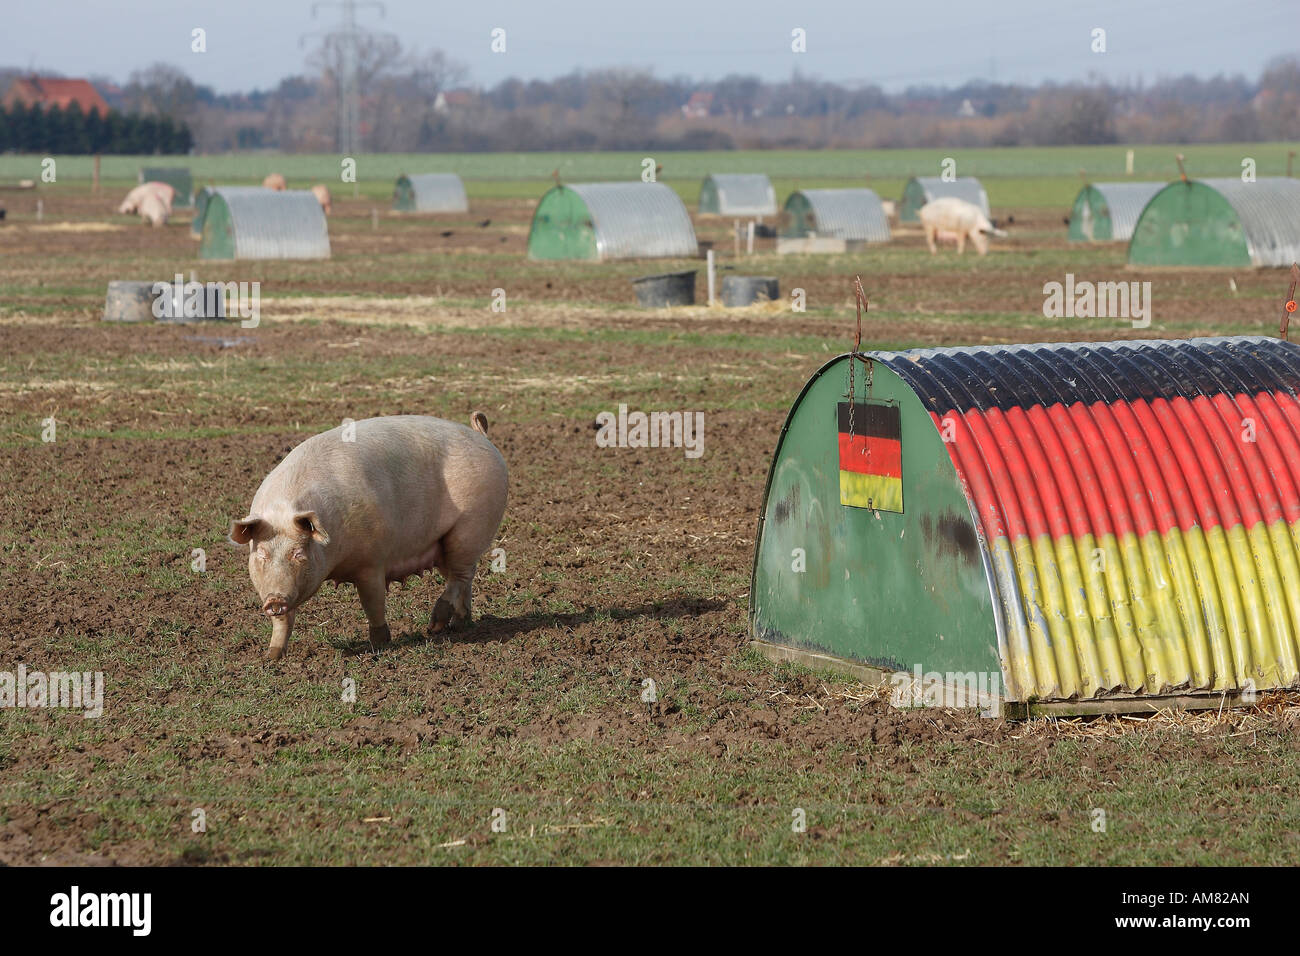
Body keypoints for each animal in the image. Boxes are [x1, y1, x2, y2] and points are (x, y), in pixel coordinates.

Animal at [231, 411, 504, 658]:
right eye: (262, 554)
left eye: (298, 553)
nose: (274, 600)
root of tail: (481, 437)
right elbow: (283, 621)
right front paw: (271, 657)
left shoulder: (372, 562)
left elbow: (373, 603)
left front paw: (379, 645)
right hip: (445, 544)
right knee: (463, 580)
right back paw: (460, 624)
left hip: (470, 528)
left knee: (461, 575)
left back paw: (435, 627)